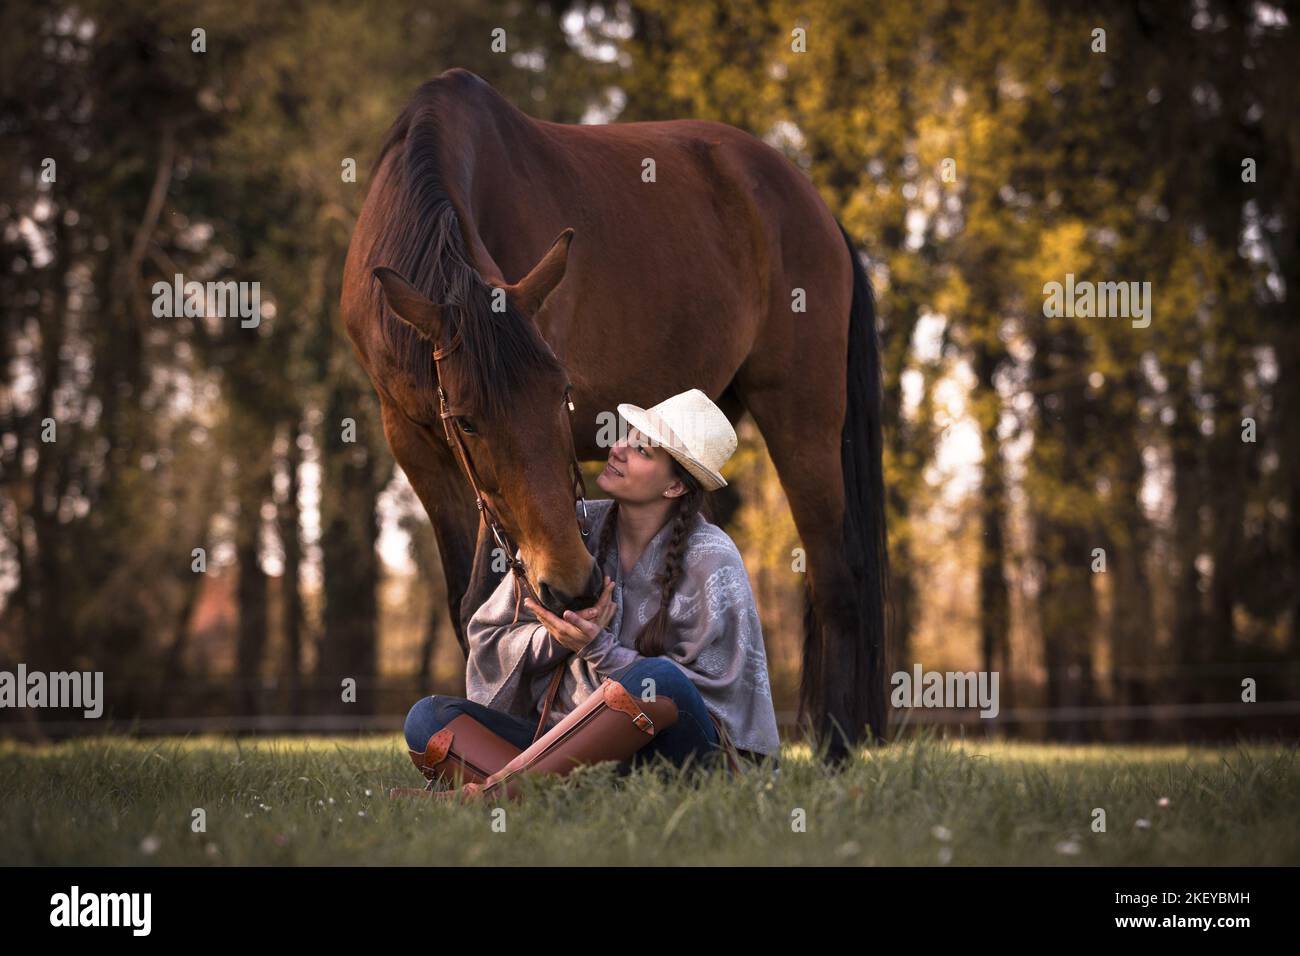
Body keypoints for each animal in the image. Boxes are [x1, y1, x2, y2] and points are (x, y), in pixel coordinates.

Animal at [340, 67, 889, 759]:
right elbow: (468, 605)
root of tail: (814, 208)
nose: (572, 586)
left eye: (562, 394)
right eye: (466, 420)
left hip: (803, 415)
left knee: (836, 577)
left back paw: (835, 753)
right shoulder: (415, 445)